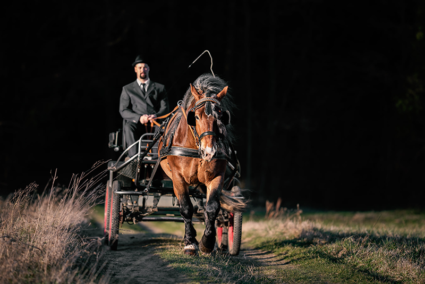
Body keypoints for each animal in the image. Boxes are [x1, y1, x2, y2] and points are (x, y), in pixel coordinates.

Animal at [158, 73, 245, 255]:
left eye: (220, 117)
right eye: (196, 116)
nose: (209, 151)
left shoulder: (216, 177)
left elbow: (212, 208)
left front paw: (207, 242)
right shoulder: (178, 178)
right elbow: (186, 208)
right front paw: (190, 243)